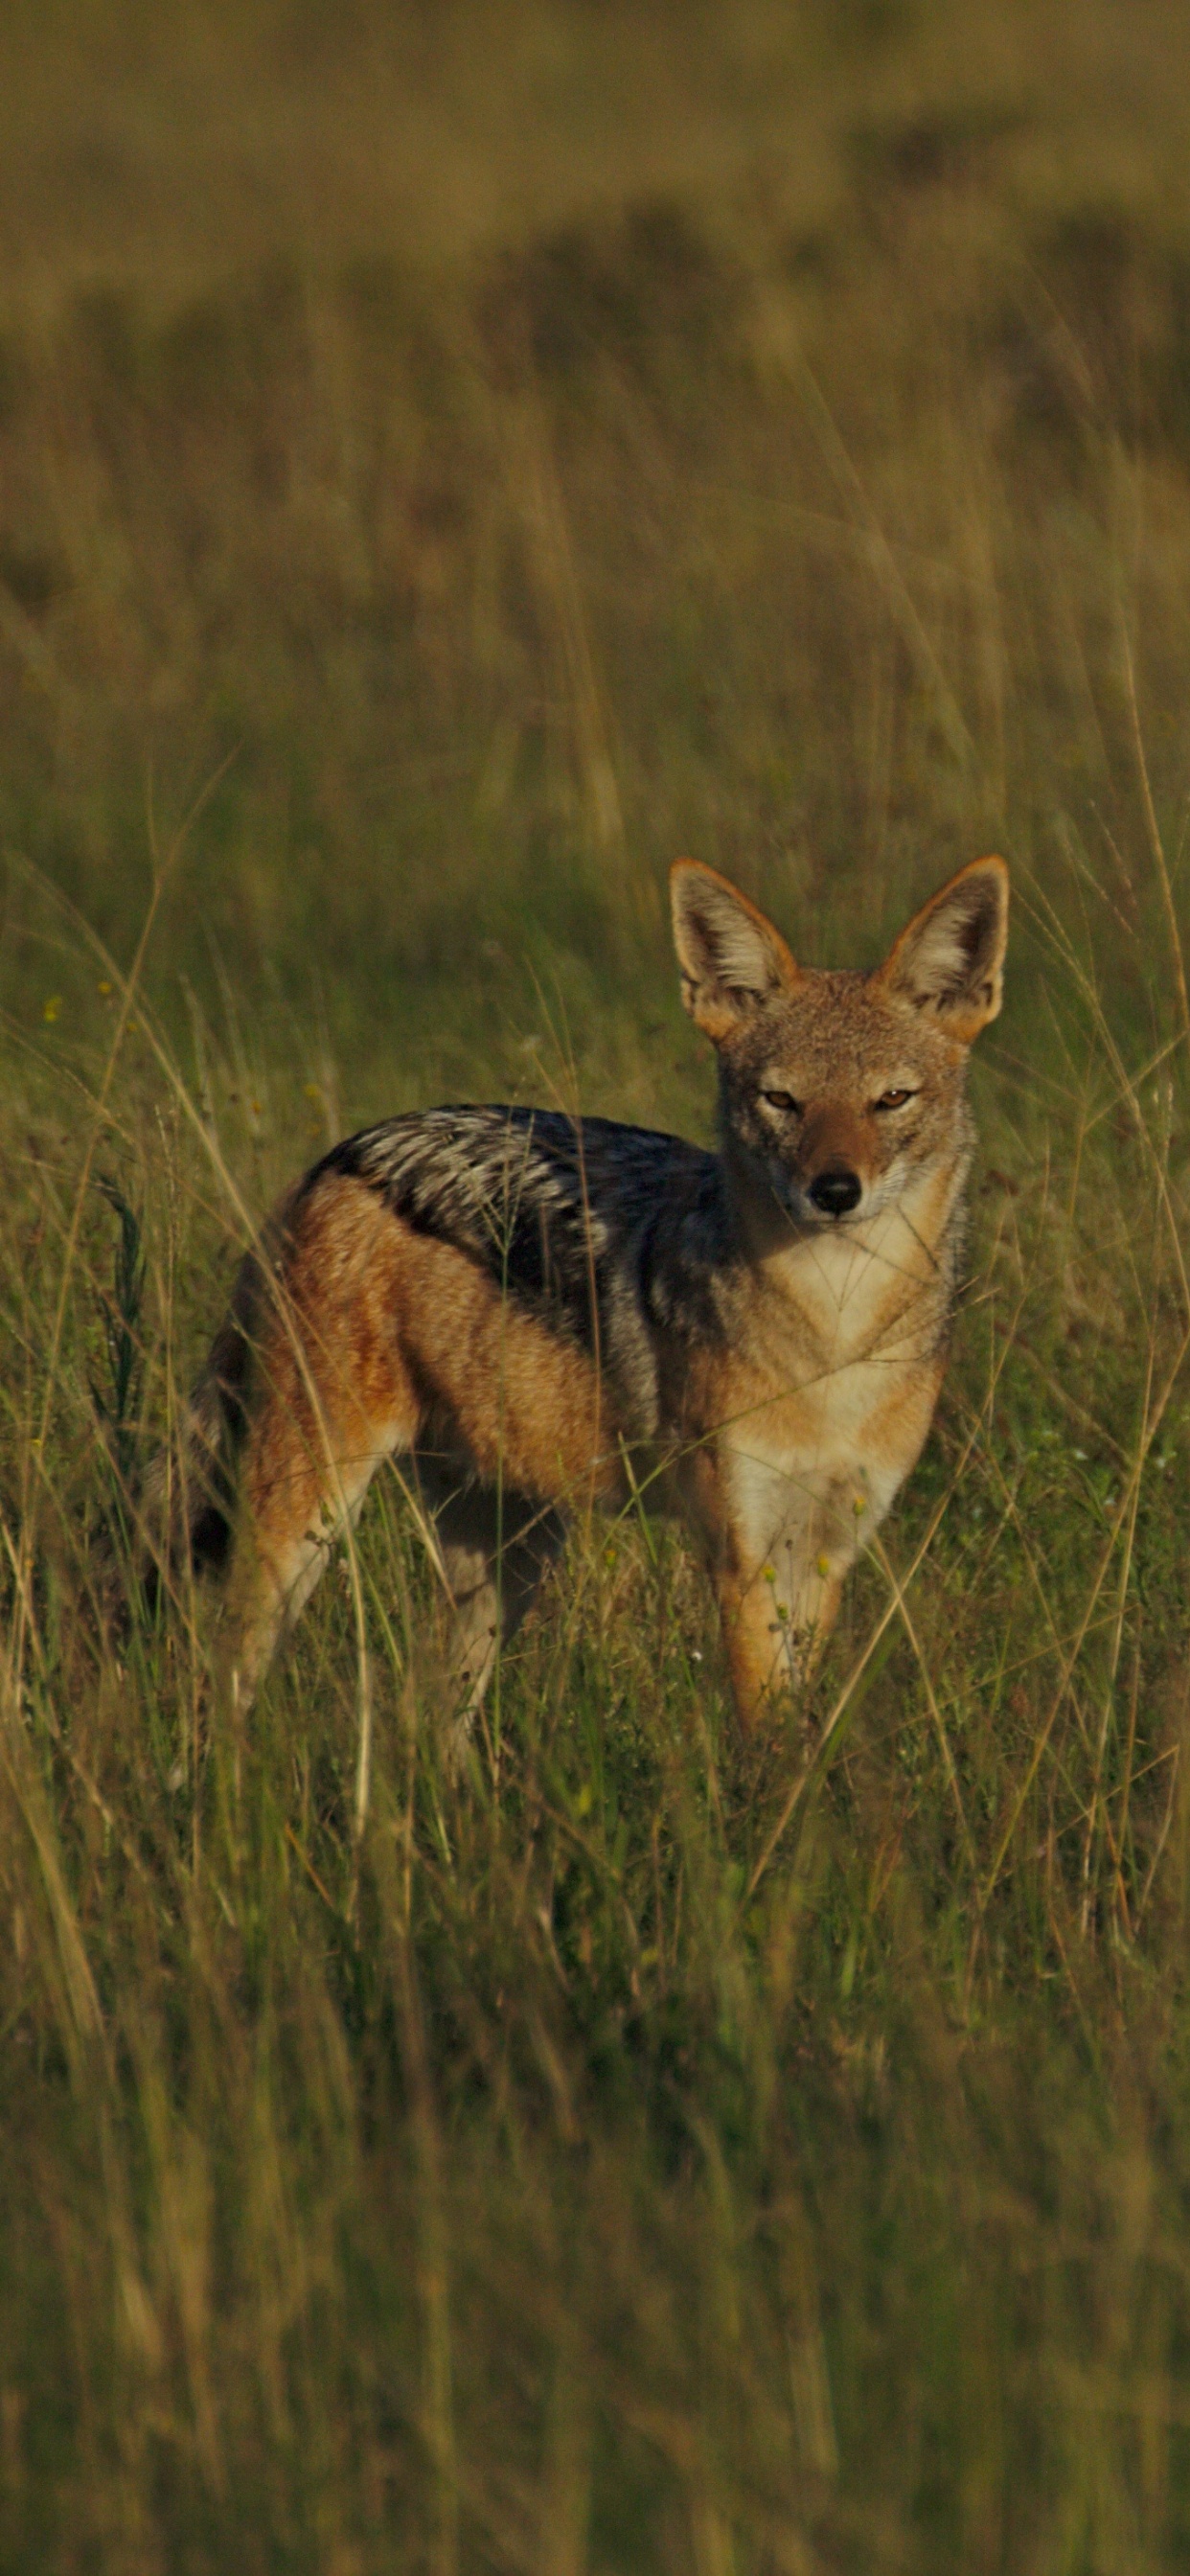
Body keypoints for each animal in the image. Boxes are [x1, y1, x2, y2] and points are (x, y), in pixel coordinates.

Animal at [149, 852, 1008, 1747]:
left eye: (891, 1100)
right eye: (782, 1101)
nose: (835, 1191)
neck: (834, 1336)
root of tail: (343, 1155)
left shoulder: (826, 1551)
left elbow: (800, 1730)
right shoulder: (744, 1557)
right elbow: (765, 1738)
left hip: (508, 1558)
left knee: (425, 1721)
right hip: (302, 1520)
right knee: (221, 1681)